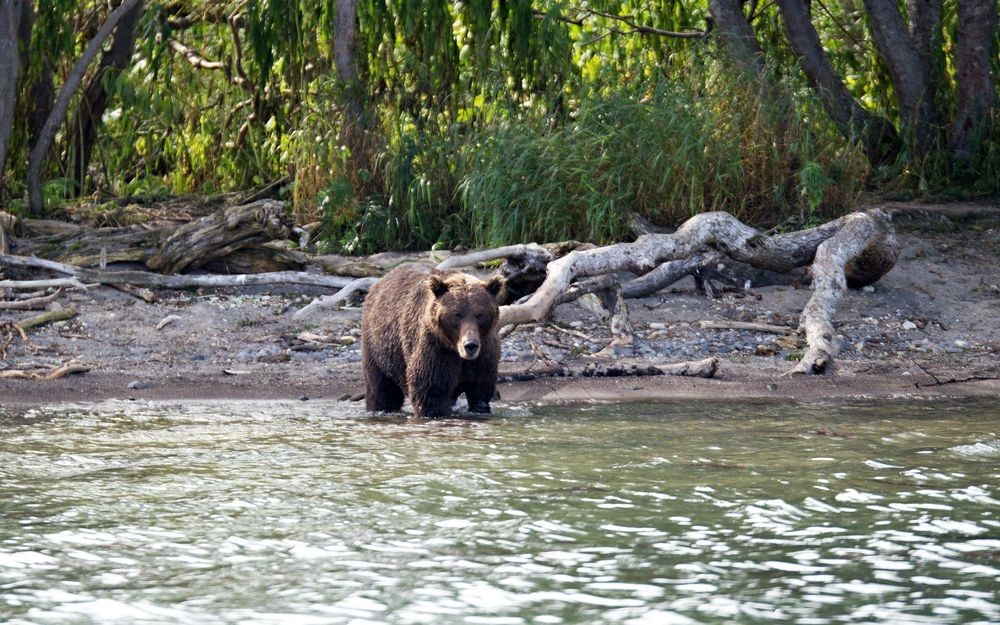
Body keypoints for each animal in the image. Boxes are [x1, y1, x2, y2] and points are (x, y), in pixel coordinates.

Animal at [360, 264, 504, 420]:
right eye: (457, 315)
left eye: (479, 314)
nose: (470, 345)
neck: (455, 349)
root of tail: (379, 283)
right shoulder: (436, 347)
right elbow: (431, 391)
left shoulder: (484, 354)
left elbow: (480, 390)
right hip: (378, 347)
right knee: (381, 389)